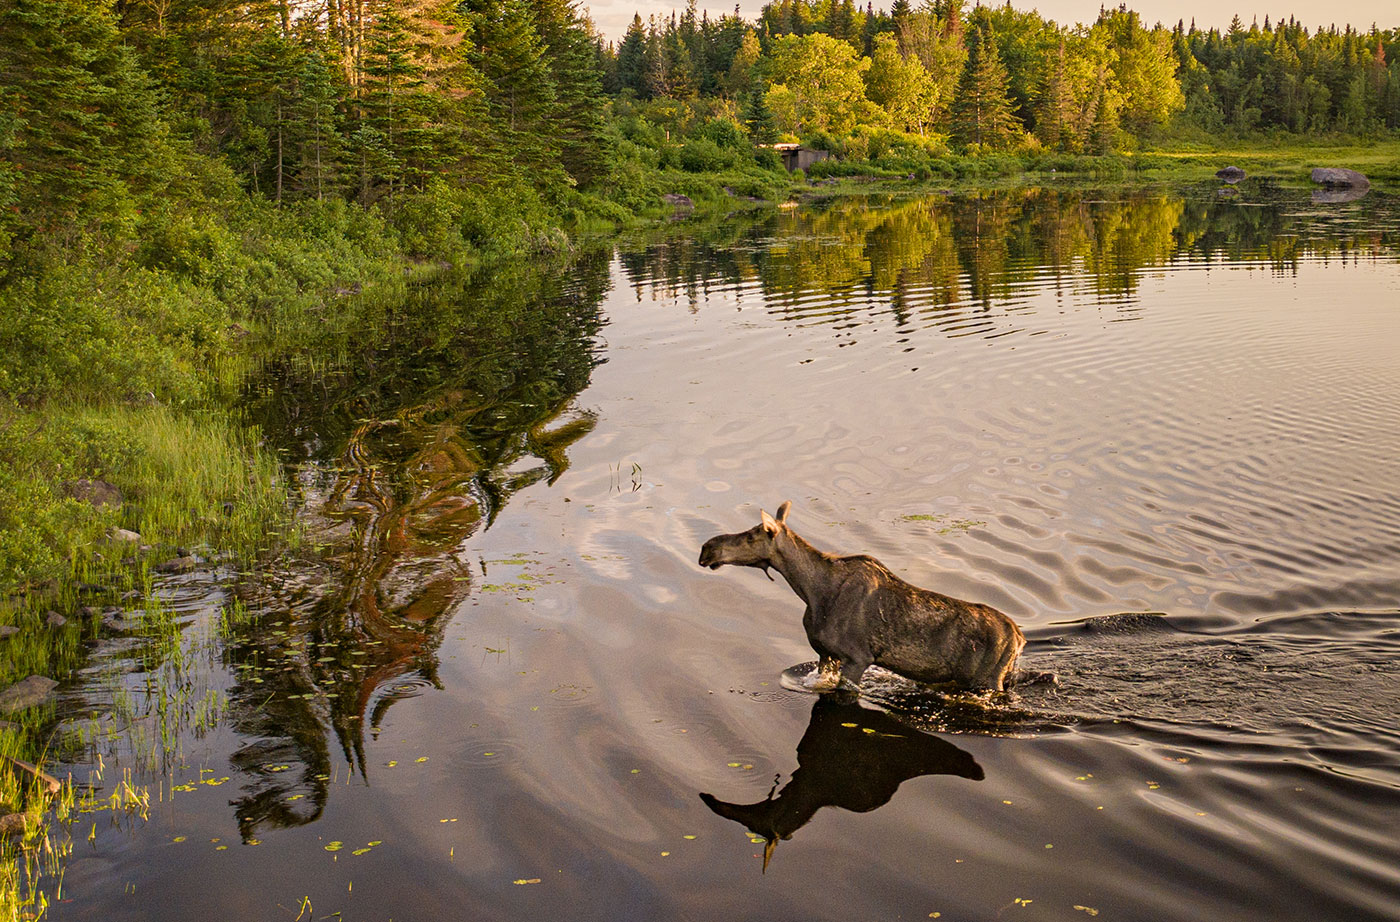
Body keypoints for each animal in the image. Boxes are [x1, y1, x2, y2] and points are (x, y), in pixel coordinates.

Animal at [697, 503, 1041, 693]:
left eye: (752, 535)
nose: (706, 548)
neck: (812, 591)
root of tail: (1019, 636)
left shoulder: (857, 658)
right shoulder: (826, 655)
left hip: (987, 680)